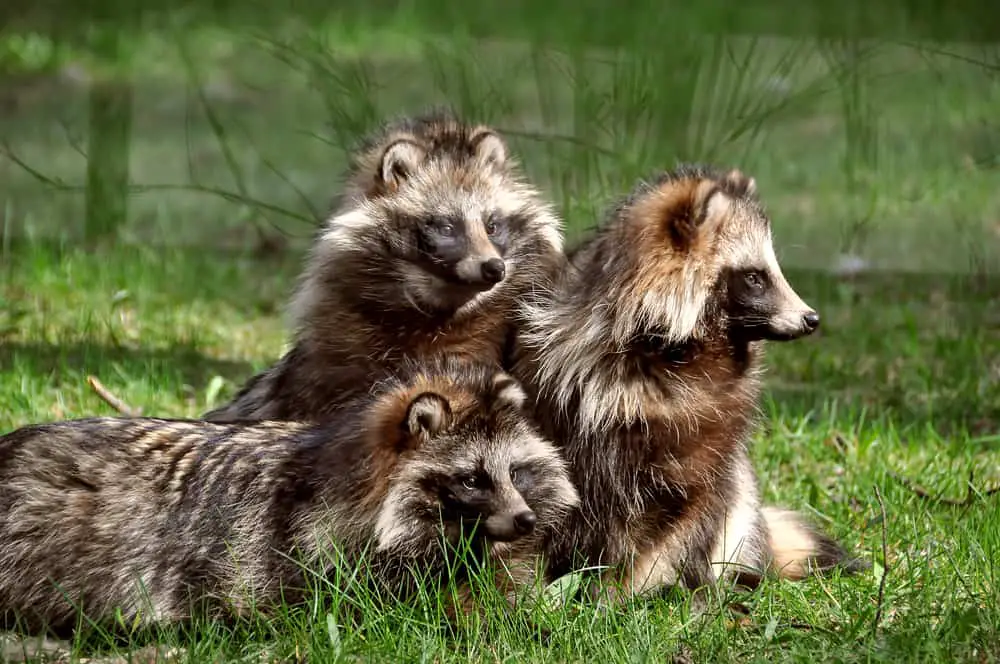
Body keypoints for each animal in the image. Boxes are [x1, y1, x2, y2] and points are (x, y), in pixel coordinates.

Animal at [512, 163, 864, 600]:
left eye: (770, 273)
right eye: (755, 278)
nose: (811, 319)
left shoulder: (708, 433)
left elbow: (684, 510)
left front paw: (627, 588)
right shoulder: (565, 395)